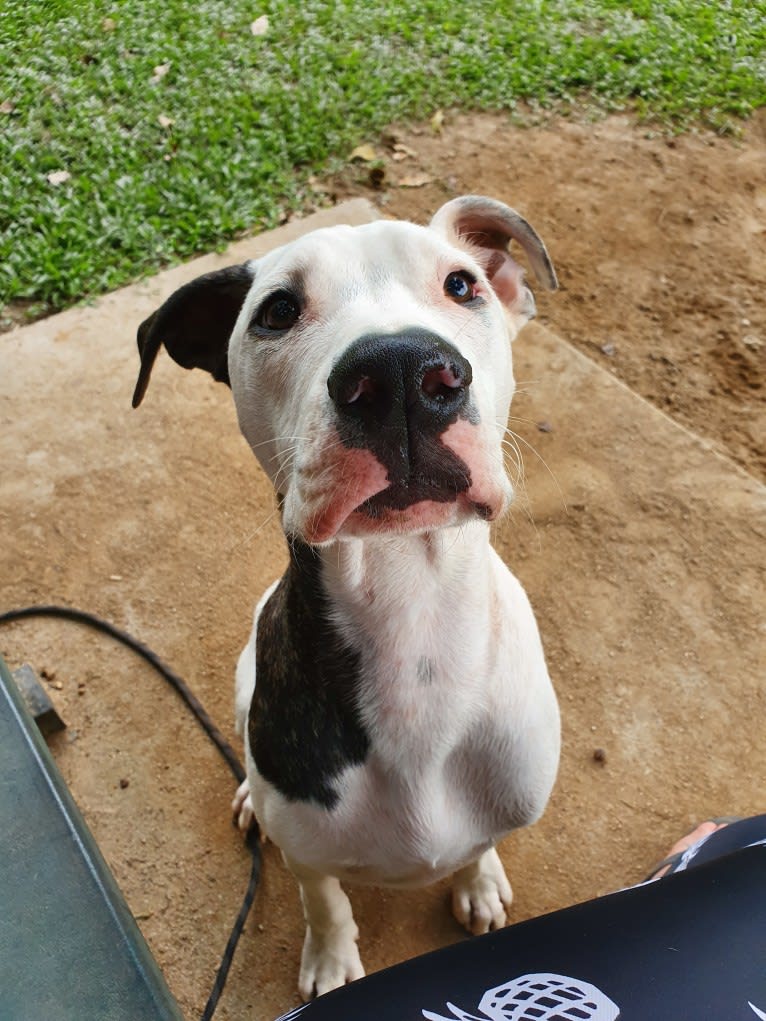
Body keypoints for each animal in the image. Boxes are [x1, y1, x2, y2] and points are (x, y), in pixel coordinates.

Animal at [133, 195, 563, 1000]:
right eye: (276, 311)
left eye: (462, 285)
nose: (401, 372)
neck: (410, 608)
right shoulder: (308, 848)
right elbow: (323, 896)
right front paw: (332, 962)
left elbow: (478, 842)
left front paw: (479, 879)